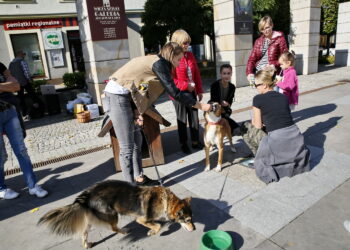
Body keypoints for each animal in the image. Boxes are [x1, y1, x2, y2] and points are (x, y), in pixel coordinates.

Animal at [39, 180, 197, 248]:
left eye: (192, 219)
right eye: (187, 220)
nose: (195, 229)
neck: (166, 201)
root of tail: (87, 194)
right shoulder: (141, 219)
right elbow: (157, 226)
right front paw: (152, 232)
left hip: (92, 218)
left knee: (84, 232)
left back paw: (87, 244)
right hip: (112, 213)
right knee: (113, 228)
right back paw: (124, 230)